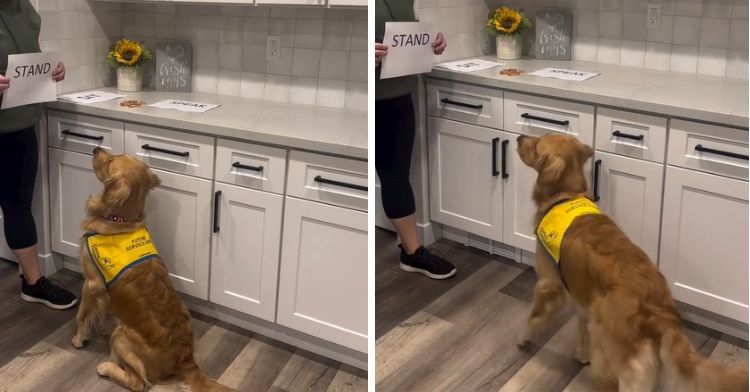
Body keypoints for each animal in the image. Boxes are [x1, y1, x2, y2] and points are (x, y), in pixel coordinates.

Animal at [71, 148, 235, 392]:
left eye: (110, 162)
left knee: (138, 382)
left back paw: (107, 368)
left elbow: (82, 314)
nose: (95, 149)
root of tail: (186, 360)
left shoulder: (92, 283)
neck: (120, 219)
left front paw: (79, 338)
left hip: (122, 336)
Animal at [516, 133, 750, 390]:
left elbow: (534, 316)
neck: (566, 195)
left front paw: (523, 338)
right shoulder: (582, 298)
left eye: (537, 142)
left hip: (615, 353)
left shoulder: (549, 282)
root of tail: (658, 308)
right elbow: (581, 328)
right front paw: (582, 354)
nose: (519, 137)